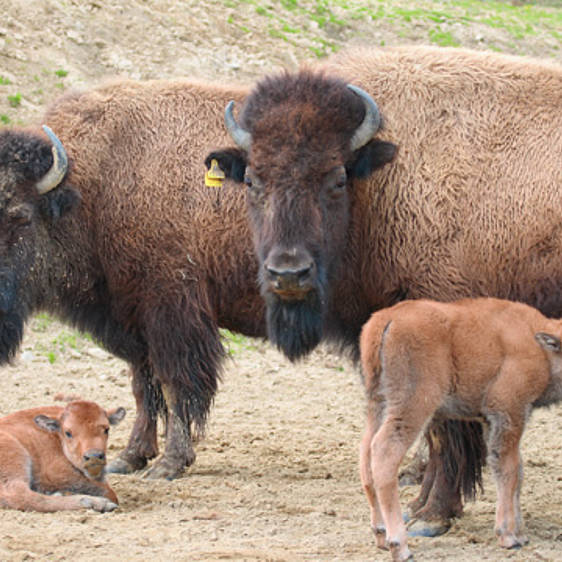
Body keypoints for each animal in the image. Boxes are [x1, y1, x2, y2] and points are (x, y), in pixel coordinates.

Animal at [358, 296, 560, 556]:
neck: (539, 345)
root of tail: (387, 319)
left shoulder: (492, 422)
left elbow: (514, 471)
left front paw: (520, 534)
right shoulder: (509, 414)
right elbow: (510, 471)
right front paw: (508, 536)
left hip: (378, 404)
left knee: (366, 456)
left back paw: (381, 535)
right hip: (412, 406)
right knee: (384, 453)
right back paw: (399, 546)